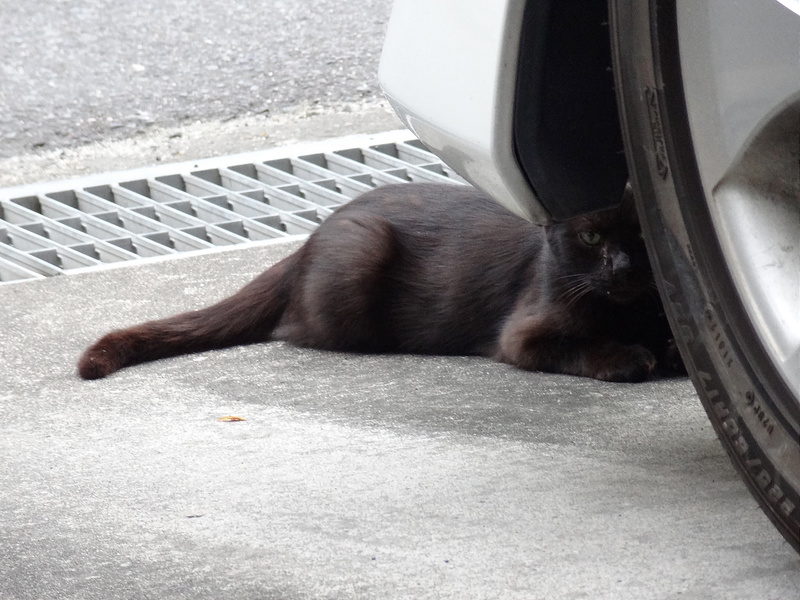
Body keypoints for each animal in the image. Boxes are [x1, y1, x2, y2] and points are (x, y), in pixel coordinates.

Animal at [78, 182, 684, 380]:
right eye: (591, 238)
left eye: (643, 235)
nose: (622, 268)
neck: (630, 309)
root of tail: (307, 242)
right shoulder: (523, 335)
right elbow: (578, 345)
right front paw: (630, 356)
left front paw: (667, 348)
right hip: (358, 255)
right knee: (296, 330)